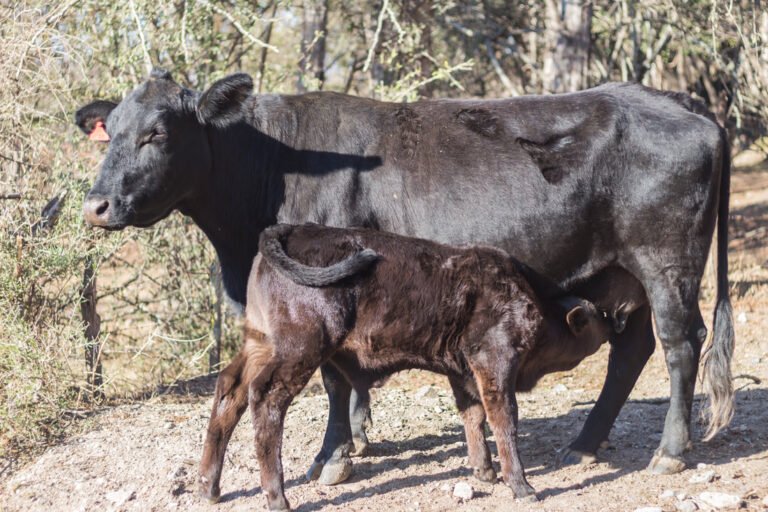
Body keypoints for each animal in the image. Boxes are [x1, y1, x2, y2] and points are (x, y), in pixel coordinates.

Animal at [200, 226, 612, 510]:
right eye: (596, 317)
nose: (616, 318)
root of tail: (293, 228)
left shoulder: (463, 372)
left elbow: (473, 416)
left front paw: (484, 471)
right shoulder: (494, 363)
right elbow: (503, 419)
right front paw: (521, 485)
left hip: (260, 344)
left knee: (229, 390)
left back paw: (209, 485)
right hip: (299, 349)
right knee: (265, 399)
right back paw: (277, 497)